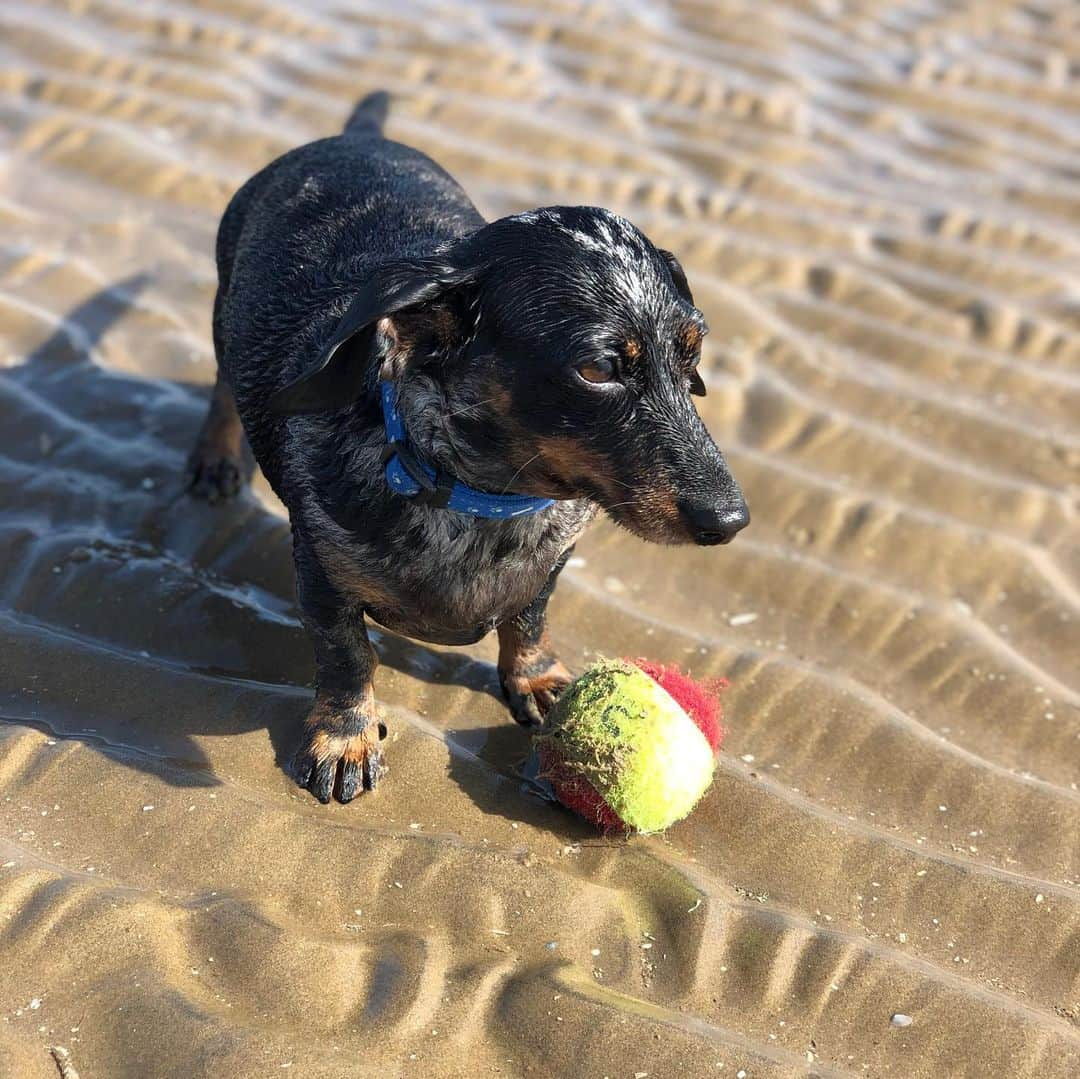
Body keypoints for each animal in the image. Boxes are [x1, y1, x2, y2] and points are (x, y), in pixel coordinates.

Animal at [187, 92, 743, 803]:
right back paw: (215, 458)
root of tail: (354, 138)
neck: (480, 499)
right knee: (222, 387)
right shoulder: (319, 567)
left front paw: (538, 680)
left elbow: (528, 618)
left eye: (692, 352)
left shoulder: (552, 561)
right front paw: (345, 738)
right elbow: (346, 655)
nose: (730, 520)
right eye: (598, 369)